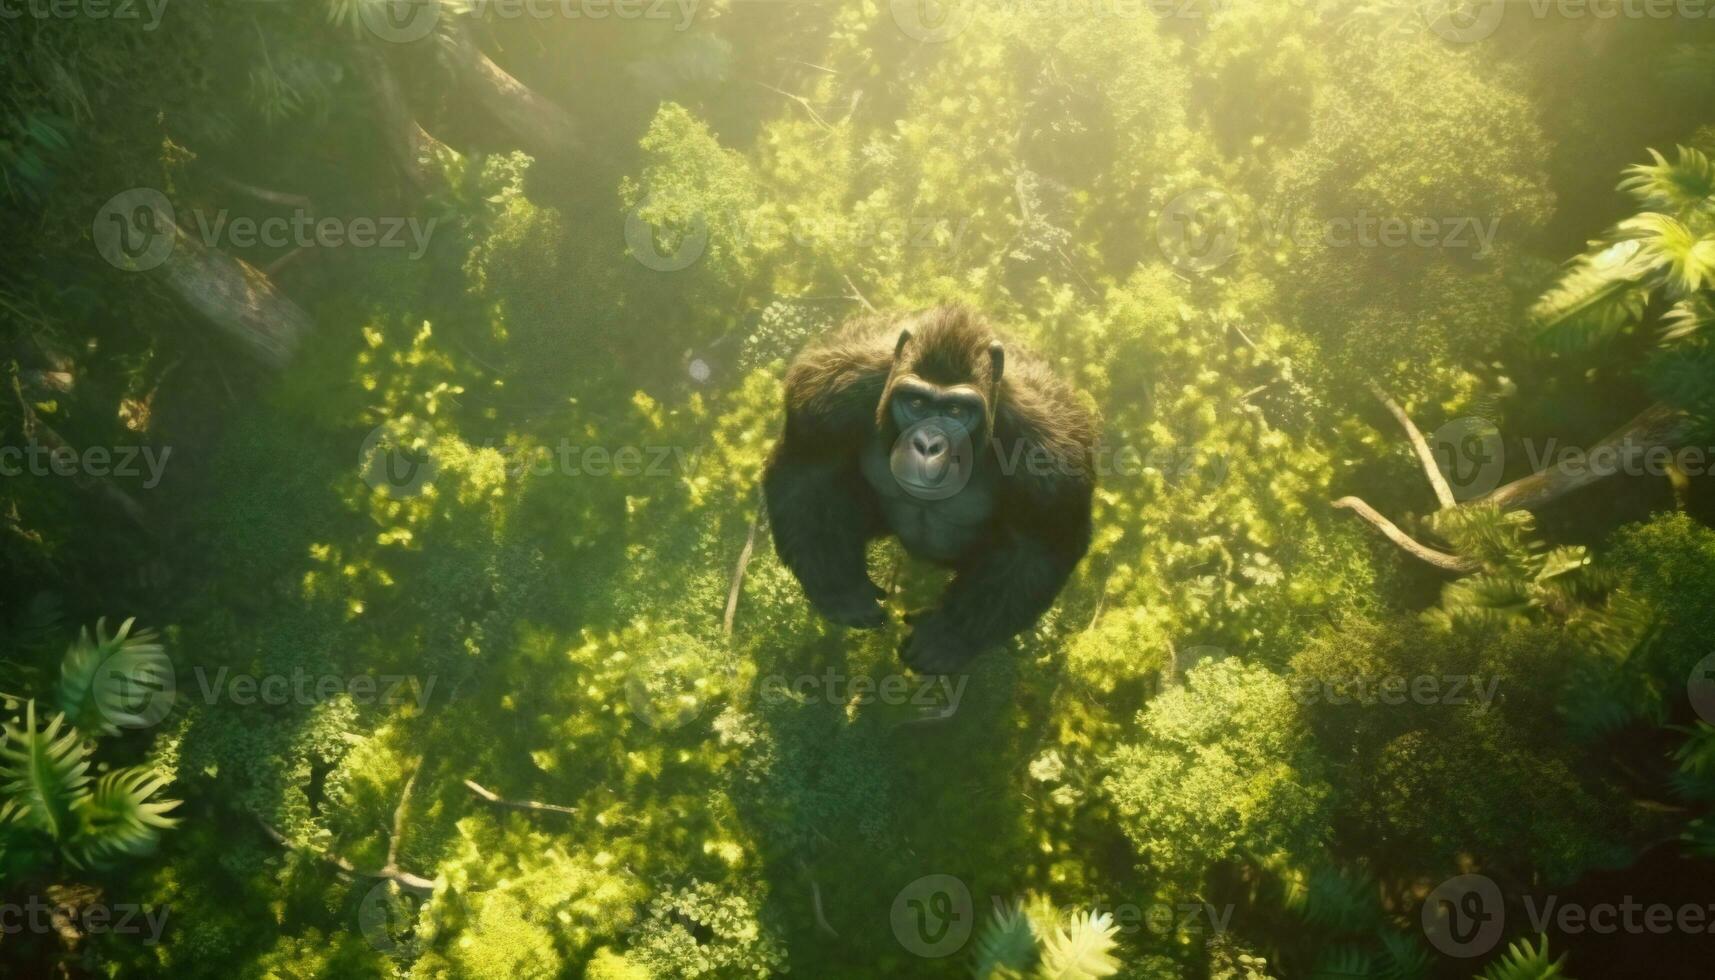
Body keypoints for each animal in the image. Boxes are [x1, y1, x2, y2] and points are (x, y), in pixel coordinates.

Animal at [764, 307, 1097, 676]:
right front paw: (842, 590)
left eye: (955, 411)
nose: (926, 444)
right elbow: (808, 478)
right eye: (916, 403)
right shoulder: (827, 392)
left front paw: (950, 635)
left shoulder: (1052, 454)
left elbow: (1035, 549)